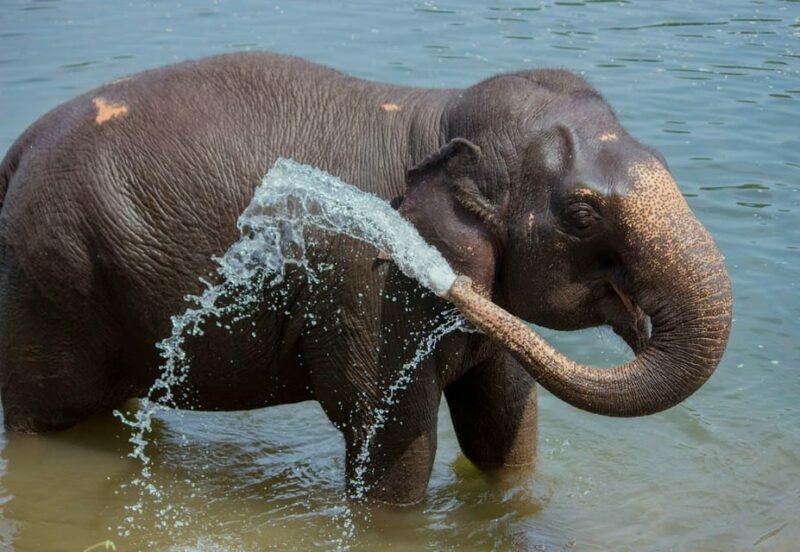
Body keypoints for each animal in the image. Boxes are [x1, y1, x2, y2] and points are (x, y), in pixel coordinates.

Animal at [0, 53, 732, 505]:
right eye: (582, 215)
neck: (435, 115)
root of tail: (16, 154)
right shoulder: (362, 287)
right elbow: (393, 445)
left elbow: (503, 426)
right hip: (51, 286)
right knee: (37, 416)